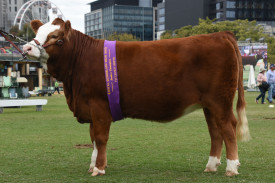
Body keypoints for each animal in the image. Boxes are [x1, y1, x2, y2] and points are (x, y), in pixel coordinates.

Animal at [23, 17, 251, 177]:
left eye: (56, 37)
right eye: (39, 32)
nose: (27, 47)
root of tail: (221, 34)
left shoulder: (99, 105)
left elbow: (101, 138)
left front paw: (99, 169)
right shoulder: (90, 107)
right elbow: (93, 139)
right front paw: (93, 165)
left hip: (220, 101)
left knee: (228, 128)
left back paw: (232, 168)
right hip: (208, 105)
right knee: (215, 132)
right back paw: (211, 165)